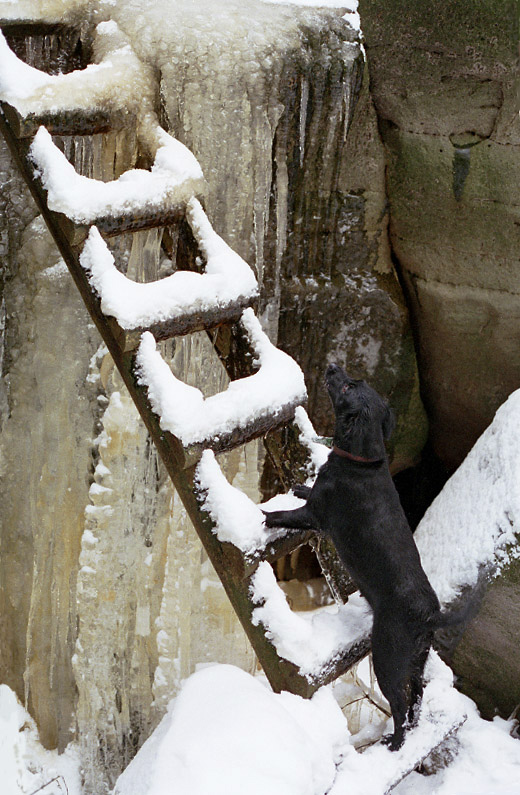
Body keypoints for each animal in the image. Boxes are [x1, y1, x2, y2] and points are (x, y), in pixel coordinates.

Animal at [264, 364, 446, 748]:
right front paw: (299, 486)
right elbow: (306, 492)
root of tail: (429, 616)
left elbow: (290, 515)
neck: (361, 462)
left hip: (387, 658)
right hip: (417, 663)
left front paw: (264, 516)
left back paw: (393, 743)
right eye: (355, 380)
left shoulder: (317, 515)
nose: (333, 367)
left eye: (347, 386)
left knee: (399, 705)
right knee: (417, 697)